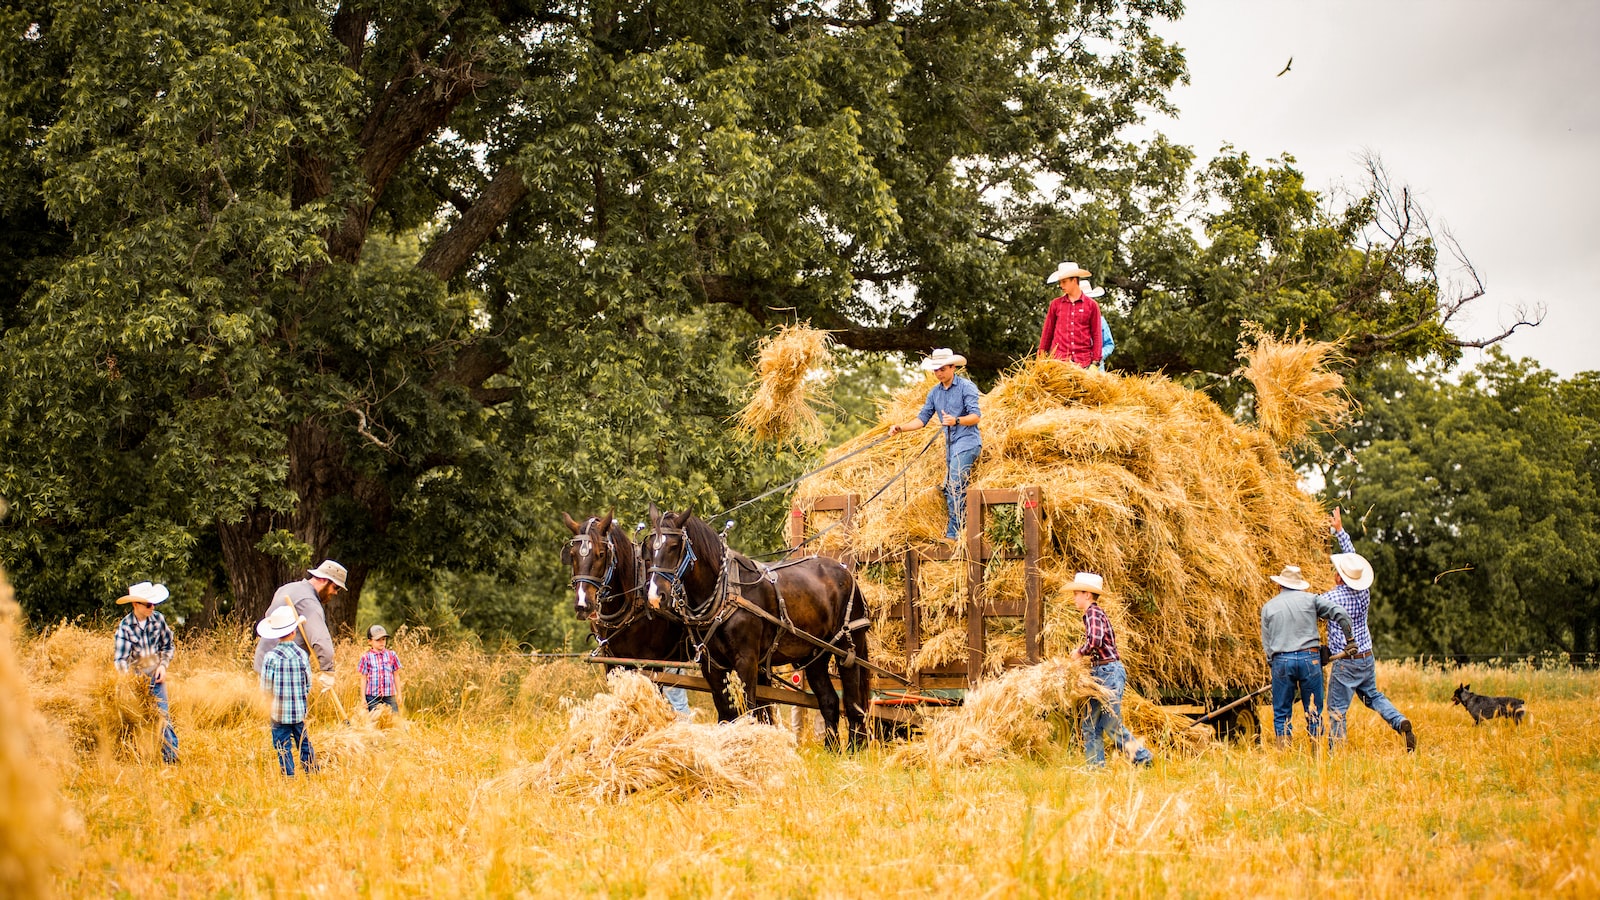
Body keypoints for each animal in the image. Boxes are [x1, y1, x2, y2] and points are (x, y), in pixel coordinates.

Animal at [640, 499, 876, 746]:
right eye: (650, 548)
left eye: (674, 546)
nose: (655, 596)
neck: (725, 593)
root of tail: (846, 572)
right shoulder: (712, 665)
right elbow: (726, 713)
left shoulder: (747, 661)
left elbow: (752, 710)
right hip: (814, 656)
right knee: (829, 701)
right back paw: (832, 749)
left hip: (847, 648)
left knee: (853, 703)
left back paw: (855, 747)